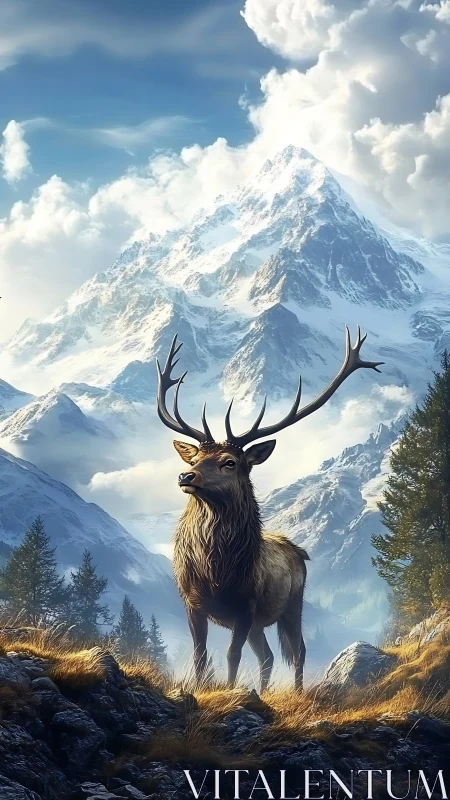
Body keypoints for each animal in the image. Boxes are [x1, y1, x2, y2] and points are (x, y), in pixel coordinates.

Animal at [156, 326, 383, 693]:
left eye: (229, 462)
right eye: (194, 458)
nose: (185, 476)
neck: (216, 571)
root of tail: (297, 550)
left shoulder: (246, 606)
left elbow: (232, 655)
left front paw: (231, 691)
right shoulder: (192, 602)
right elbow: (200, 655)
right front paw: (202, 689)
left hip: (292, 605)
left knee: (298, 650)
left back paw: (298, 693)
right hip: (262, 622)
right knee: (268, 656)